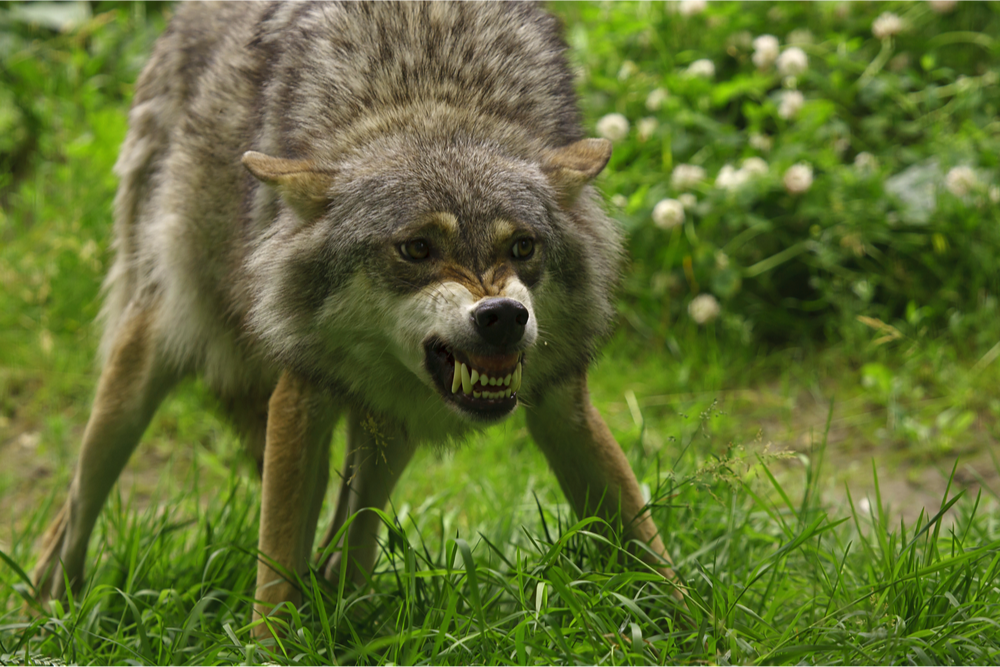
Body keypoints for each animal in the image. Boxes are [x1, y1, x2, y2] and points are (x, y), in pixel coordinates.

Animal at [32, 1, 681, 637]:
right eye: (416, 249)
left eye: (522, 247)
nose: (502, 315)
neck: (431, 94)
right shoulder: (300, 393)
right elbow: (274, 575)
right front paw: (273, 647)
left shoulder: (561, 403)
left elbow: (644, 540)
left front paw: (687, 622)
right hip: (147, 360)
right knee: (73, 509)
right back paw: (51, 608)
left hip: (388, 428)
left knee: (353, 531)